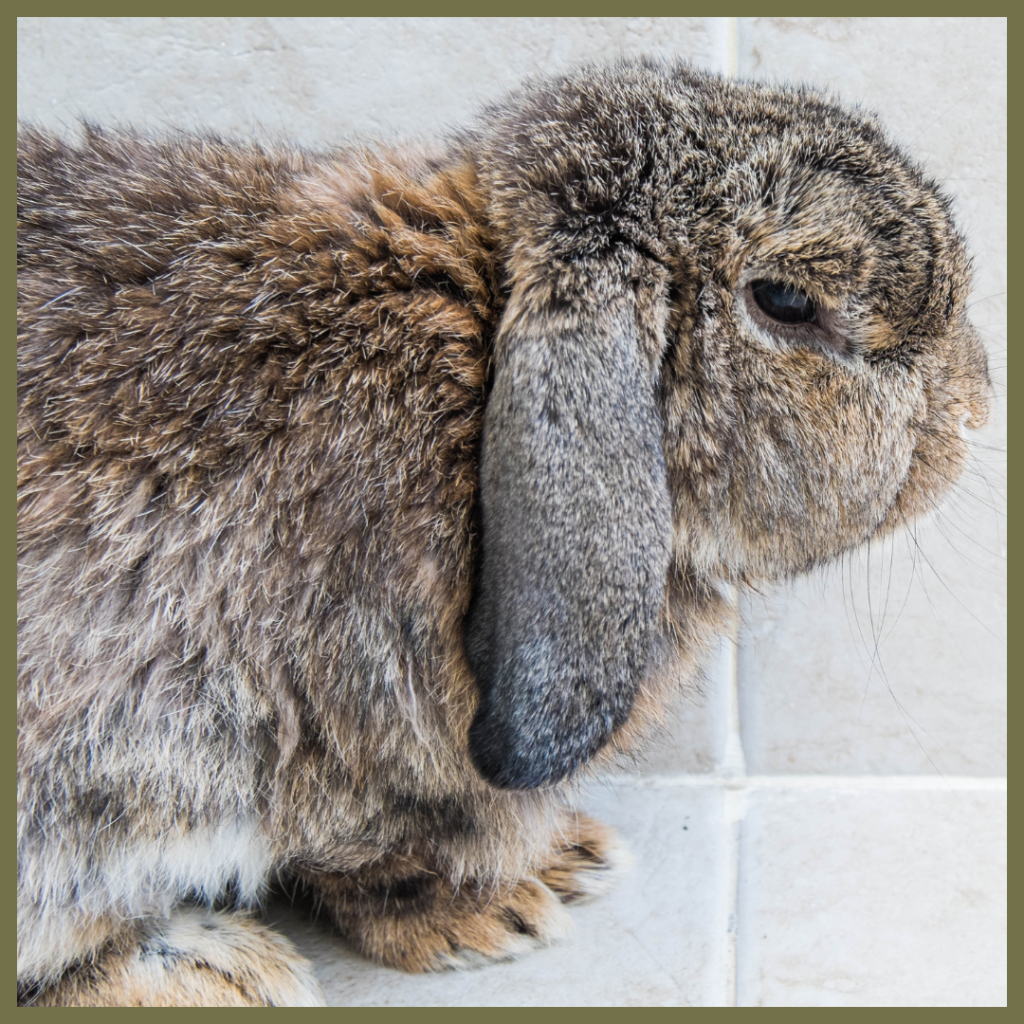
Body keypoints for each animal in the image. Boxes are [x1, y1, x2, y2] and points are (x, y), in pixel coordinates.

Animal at [17, 56, 991, 1005]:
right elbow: (383, 854)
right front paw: (496, 913)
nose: (974, 408)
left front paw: (564, 861)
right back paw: (215, 968)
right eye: (785, 301)